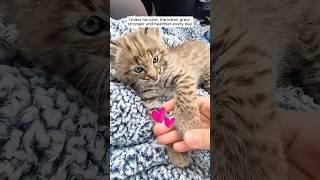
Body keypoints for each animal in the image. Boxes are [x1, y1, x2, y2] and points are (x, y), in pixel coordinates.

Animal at [110, 28, 210, 167]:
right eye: (138, 69)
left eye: (155, 59)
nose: (153, 76)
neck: (157, 83)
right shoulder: (150, 98)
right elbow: (160, 120)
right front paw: (177, 153)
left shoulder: (184, 75)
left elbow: (185, 95)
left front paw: (188, 123)